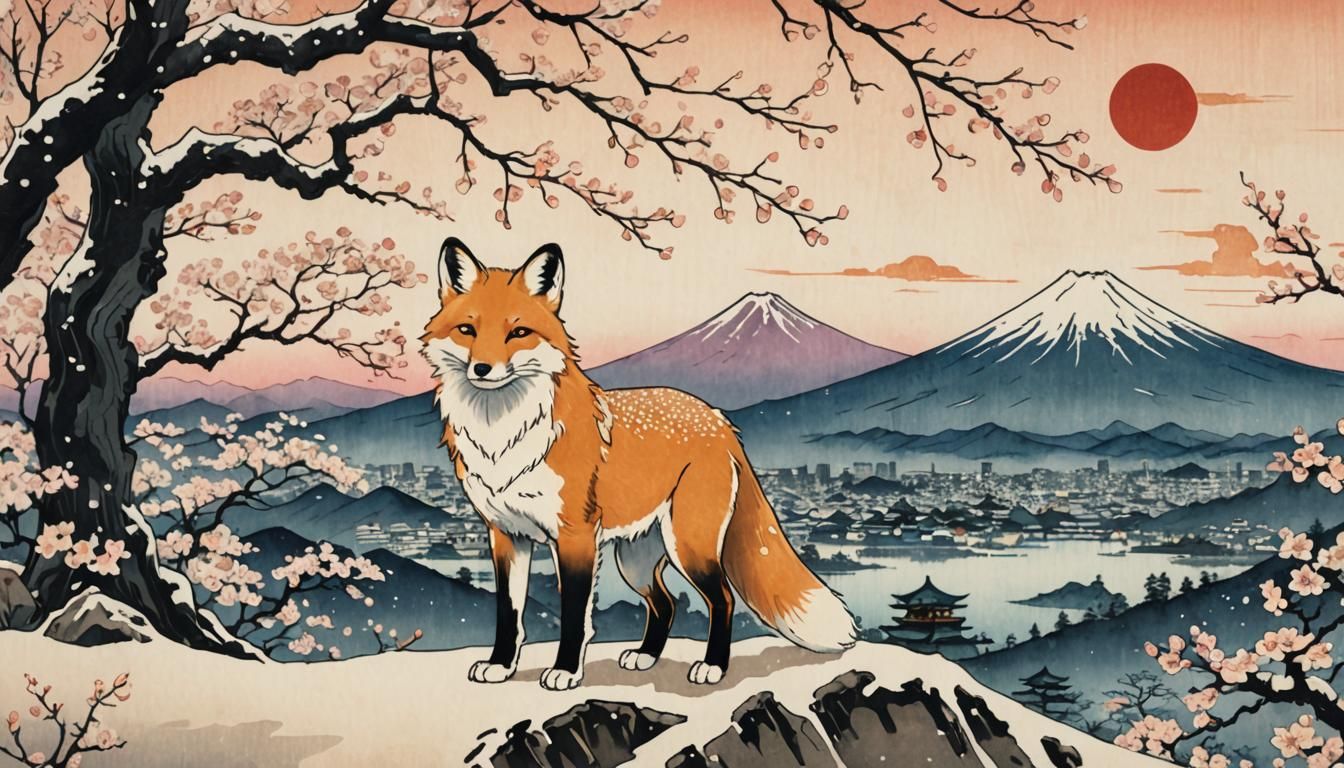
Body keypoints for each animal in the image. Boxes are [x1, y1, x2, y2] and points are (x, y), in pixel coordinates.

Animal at [420, 237, 856, 690]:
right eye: (468, 330)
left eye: (518, 333)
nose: (482, 369)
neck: (504, 439)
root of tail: (719, 419)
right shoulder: (506, 535)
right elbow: (509, 615)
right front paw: (501, 665)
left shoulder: (575, 537)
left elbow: (574, 618)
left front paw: (565, 671)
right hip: (636, 560)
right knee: (666, 604)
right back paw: (646, 656)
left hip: (688, 547)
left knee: (722, 598)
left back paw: (713, 666)